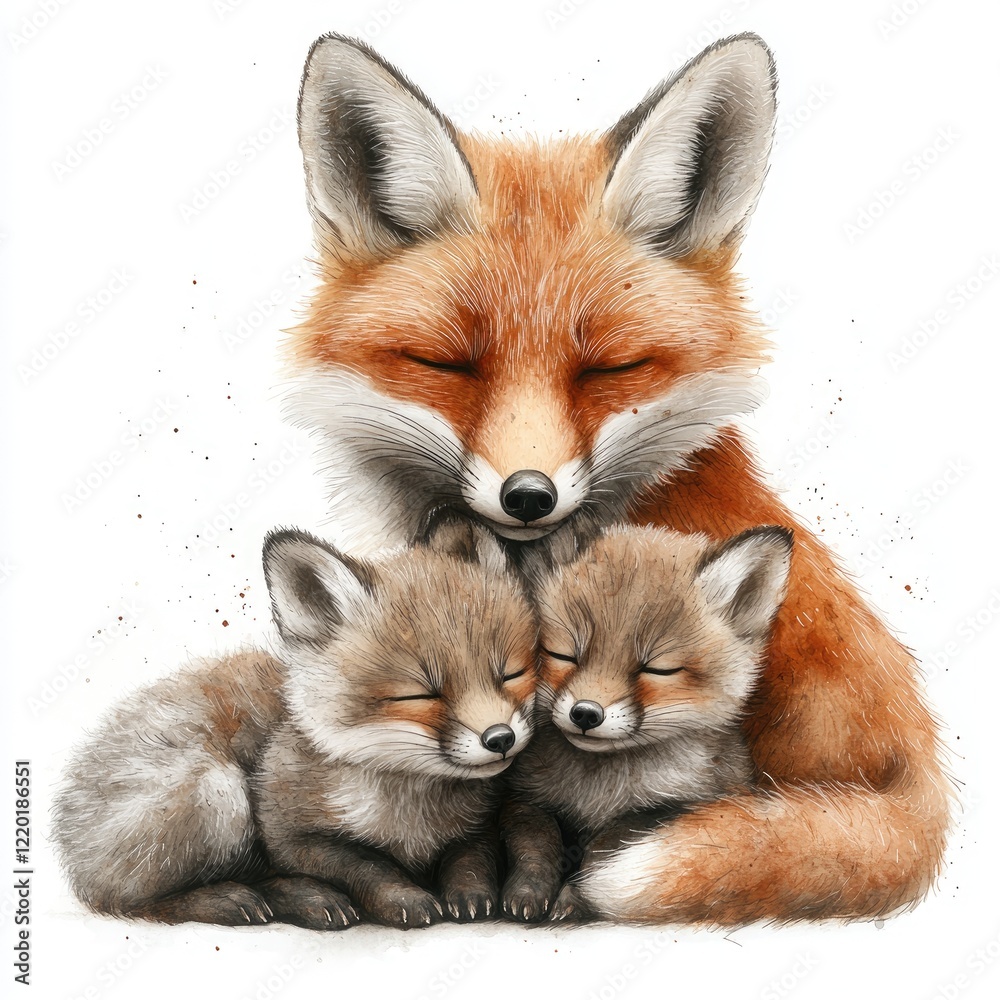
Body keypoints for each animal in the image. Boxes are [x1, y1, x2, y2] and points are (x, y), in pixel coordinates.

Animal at [53, 516, 537, 929]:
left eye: (511, 674)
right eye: (419, 694)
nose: (500, 738)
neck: (410, 811)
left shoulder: (476, 825)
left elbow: (469, 859)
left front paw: (469, 895)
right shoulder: (287, 833)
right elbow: (366, 865)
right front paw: (403, 897)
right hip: (218, 792)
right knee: (134, 901)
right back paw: (248, 900)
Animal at [500, 523, 792, 922]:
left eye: (657, 669)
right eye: (563, 654)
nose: (585, 713)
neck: (597, 790)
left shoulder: (671, 809)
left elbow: (603, 850)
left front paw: (577, 897)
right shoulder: (526, 798)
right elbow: (536, 843)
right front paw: (529, 890)